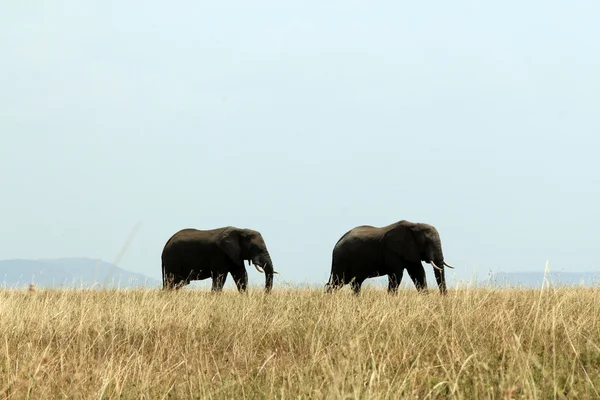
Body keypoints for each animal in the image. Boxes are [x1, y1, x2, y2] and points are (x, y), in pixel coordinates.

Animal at [326, 220, 458, 296]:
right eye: (426, 242)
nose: (443, 298)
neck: (414, 225)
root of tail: (336, 244)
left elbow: (418, 273)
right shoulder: (393, 250)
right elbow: (396, 275)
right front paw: (392, 298)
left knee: (356, 283)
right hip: (342, 260)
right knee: (337, 282)